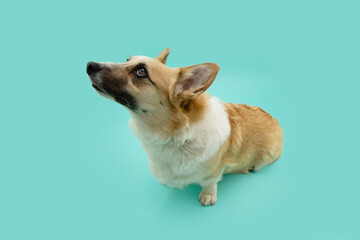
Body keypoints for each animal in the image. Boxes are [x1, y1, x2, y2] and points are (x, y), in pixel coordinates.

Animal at [86, 47, 282, 205]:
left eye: (141, 71)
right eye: (127, 59)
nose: (89, 65)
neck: (175, 134)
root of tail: (275, 120)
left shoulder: (213, 171)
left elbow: (210, 183)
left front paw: (208, 196)